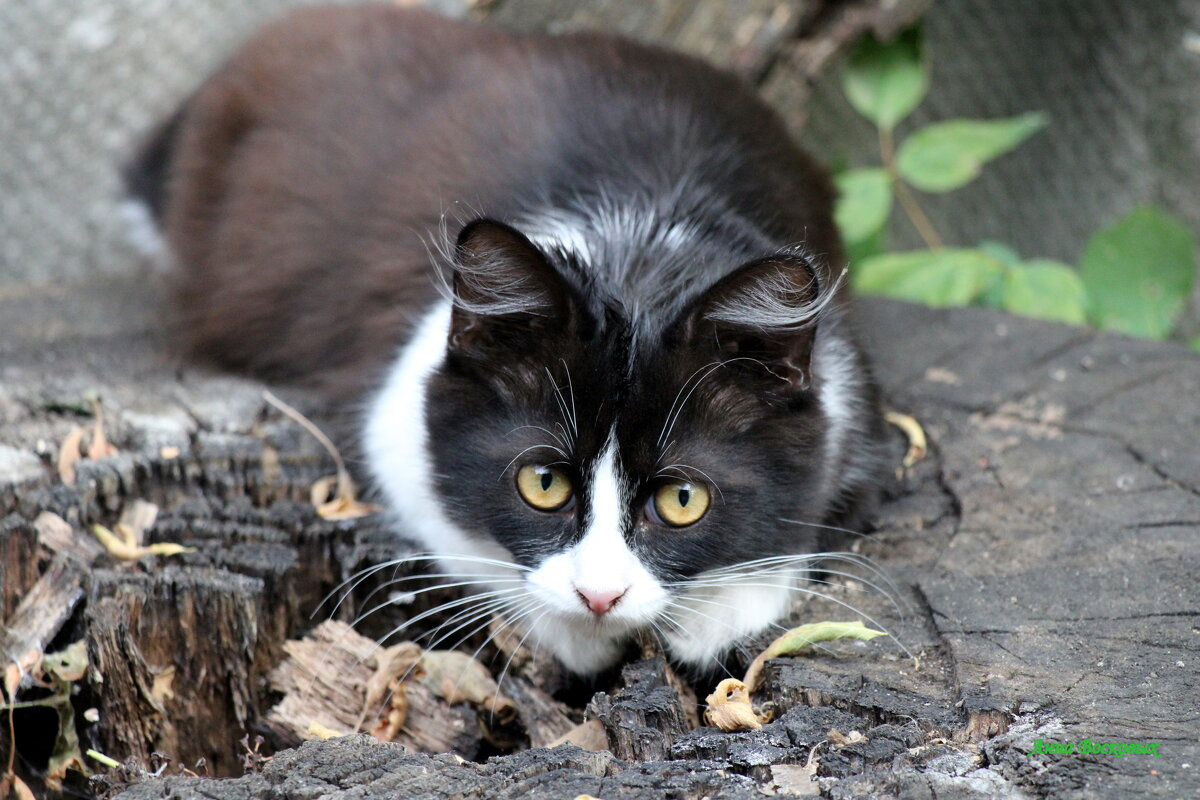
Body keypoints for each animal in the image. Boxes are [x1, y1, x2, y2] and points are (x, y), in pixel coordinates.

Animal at [133, 3, 892, 676]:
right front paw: (573, 633)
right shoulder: (402, 398)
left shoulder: (847, 395)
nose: (599, 596)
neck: (640, 254)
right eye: (543, 483)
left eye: (684, 500)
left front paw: (717, 614)